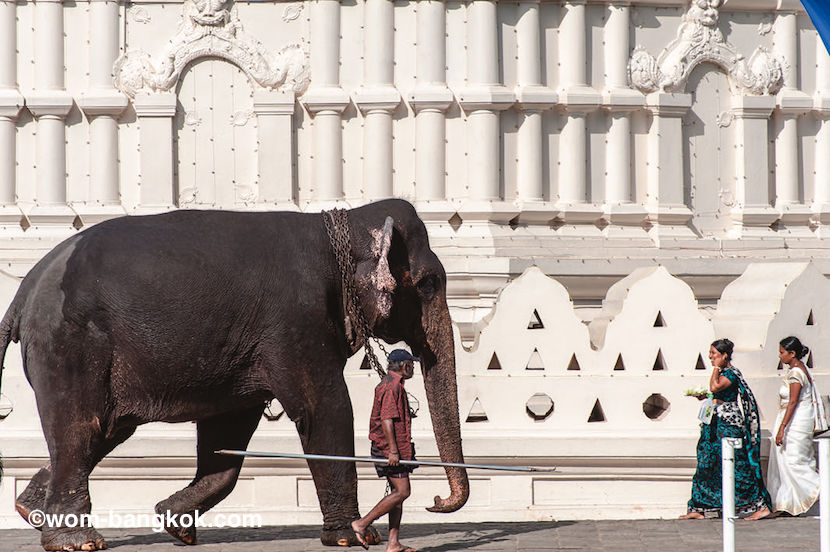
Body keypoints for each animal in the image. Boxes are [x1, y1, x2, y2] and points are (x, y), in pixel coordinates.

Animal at [0, 199, 468, 552]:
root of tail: (25, 289)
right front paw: (352, 538)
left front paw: (174, 524)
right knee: (81, 428)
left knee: (106, 430)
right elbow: (325, 408)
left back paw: (30, 510)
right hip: (70, 344)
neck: (343, 221)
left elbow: (229, 430)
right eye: (428, 284)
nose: (436, 499)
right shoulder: (296, 322)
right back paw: (75, 542)